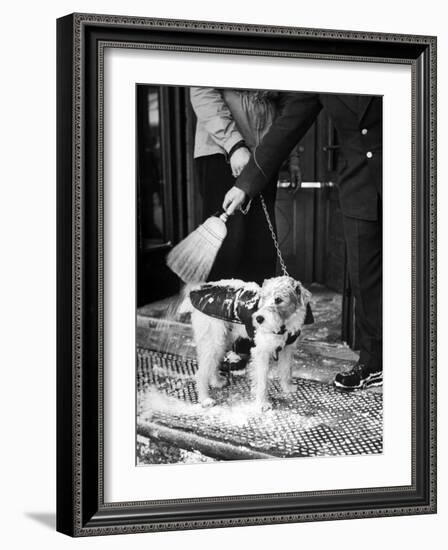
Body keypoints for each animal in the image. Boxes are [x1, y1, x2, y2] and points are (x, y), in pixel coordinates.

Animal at [187, 278, 314, 412]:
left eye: (278, 299)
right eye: (263, 297)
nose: (258, 319)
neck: (284, 324)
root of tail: (197, 289)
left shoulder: (287, 349)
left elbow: (285, 370)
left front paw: (287, 388)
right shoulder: (262, 352)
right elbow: (263, 381)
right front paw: (262, 403)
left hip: (222, 341)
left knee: (213, 363)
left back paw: (216, 381)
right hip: (213, 341)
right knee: (200, 373)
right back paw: (205, 399)